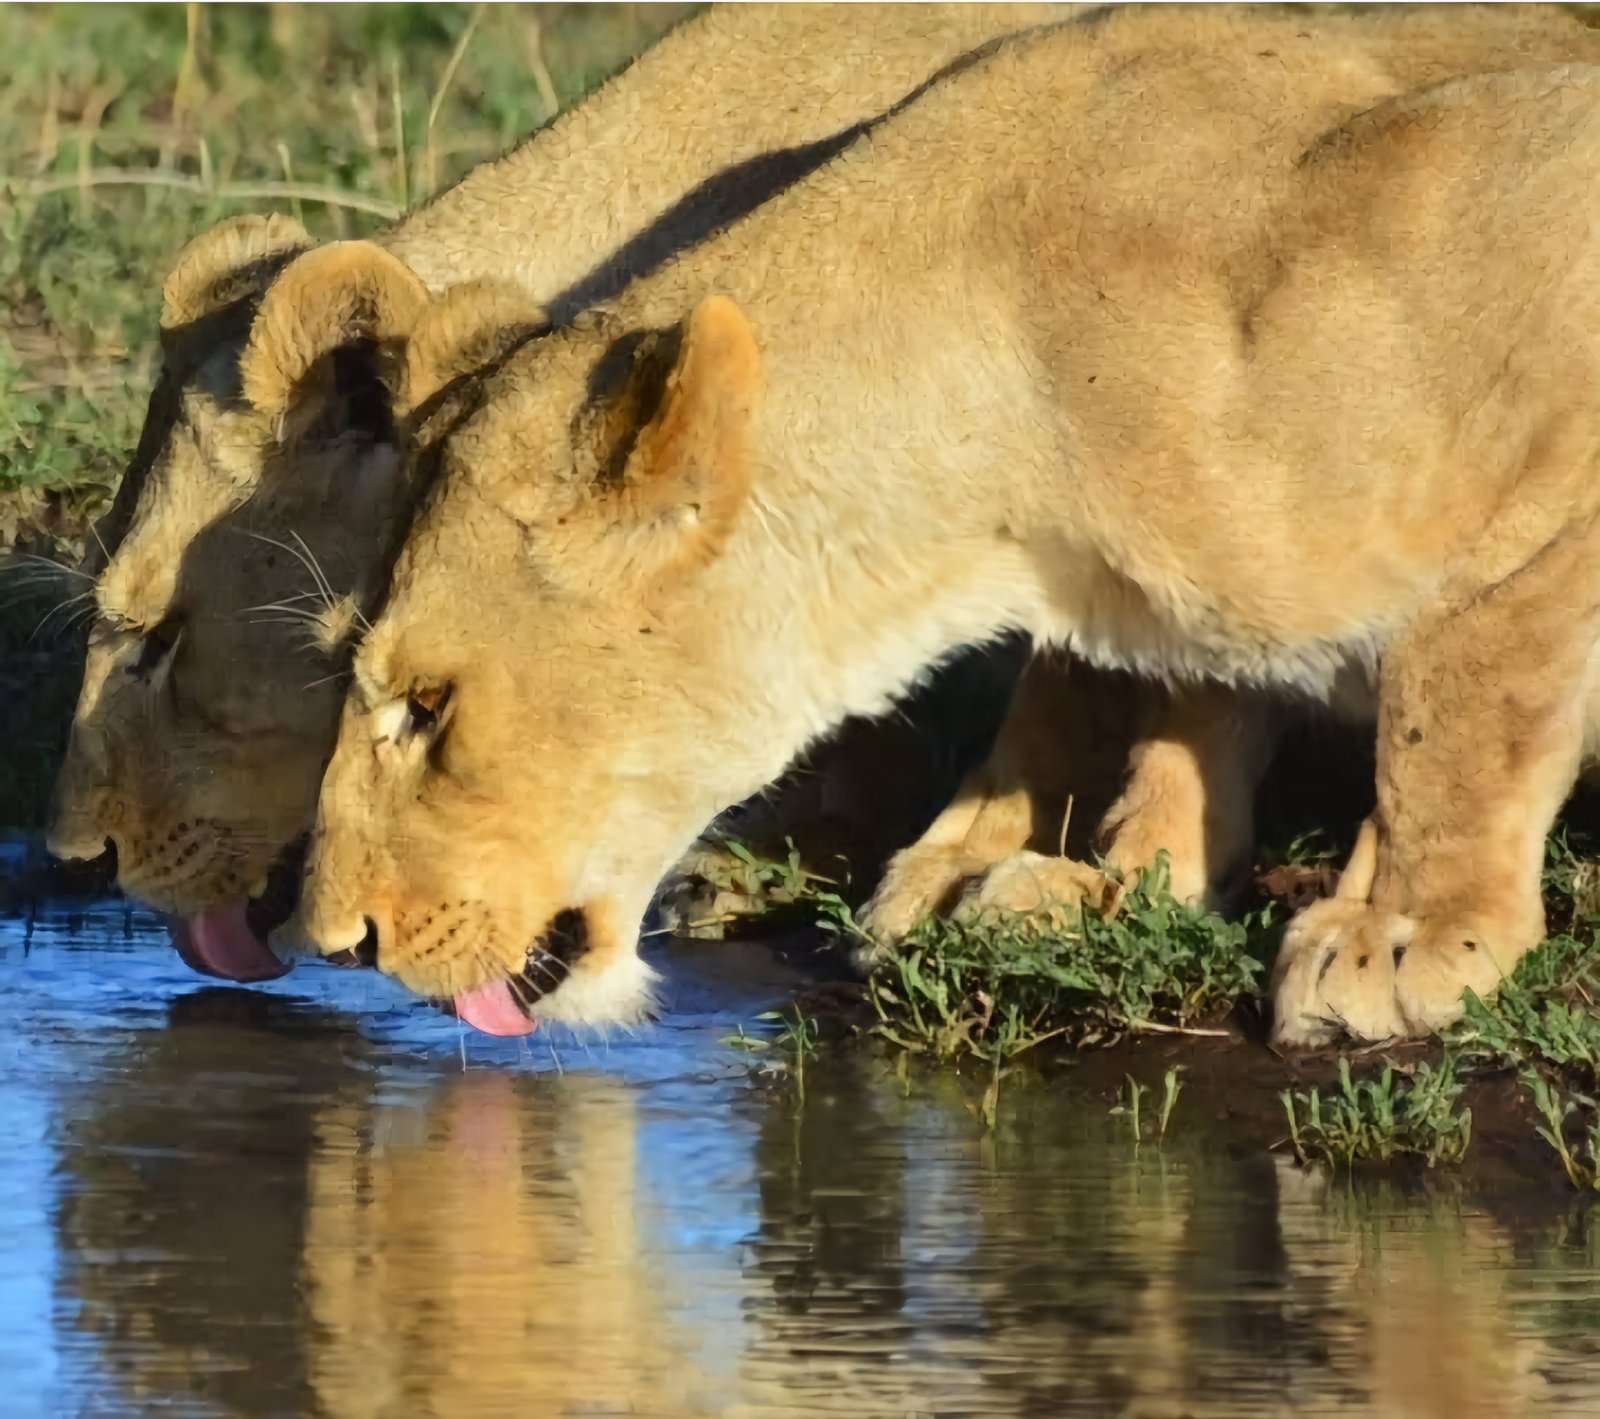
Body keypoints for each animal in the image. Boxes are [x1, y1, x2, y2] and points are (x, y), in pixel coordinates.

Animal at [281, 5, 1600, 1049]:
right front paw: (1114, 885)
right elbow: (1186, 713)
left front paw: (1405, 935)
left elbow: (1454, 703)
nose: (341, 943)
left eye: (429, 706)